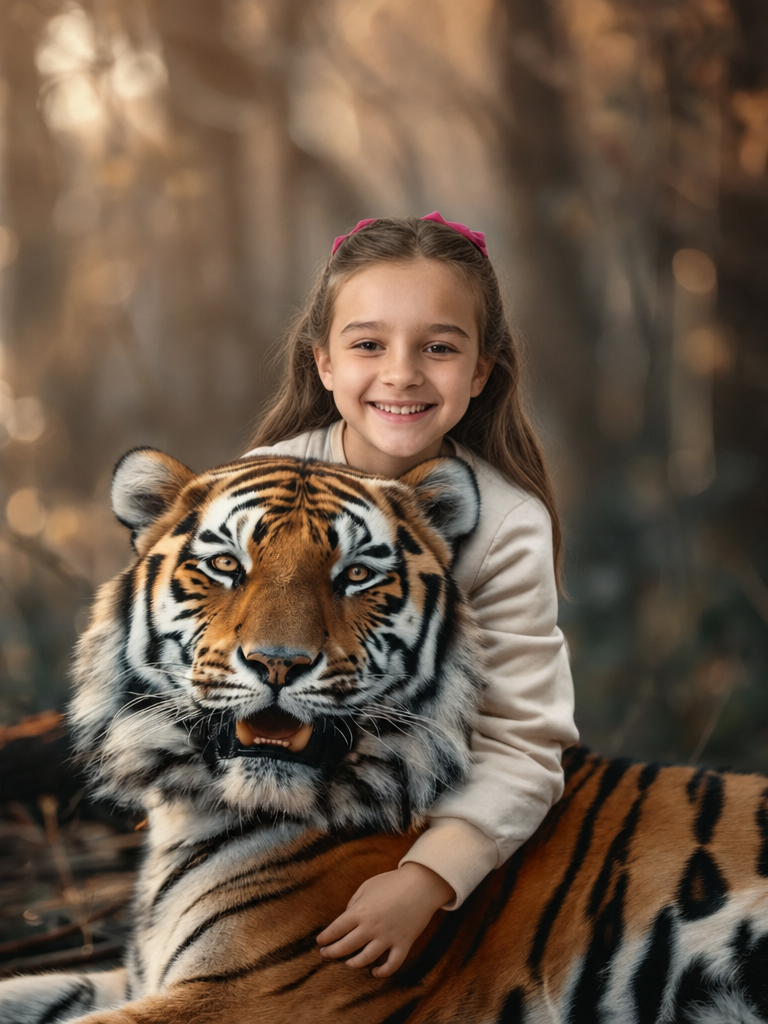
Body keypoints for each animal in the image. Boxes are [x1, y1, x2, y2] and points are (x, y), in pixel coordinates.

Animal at [1, 449, 767, 1024]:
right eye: (226, 566)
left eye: (357, 575)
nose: (278, 662)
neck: (195, 811)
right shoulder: (140, 975)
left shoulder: (240, 997)